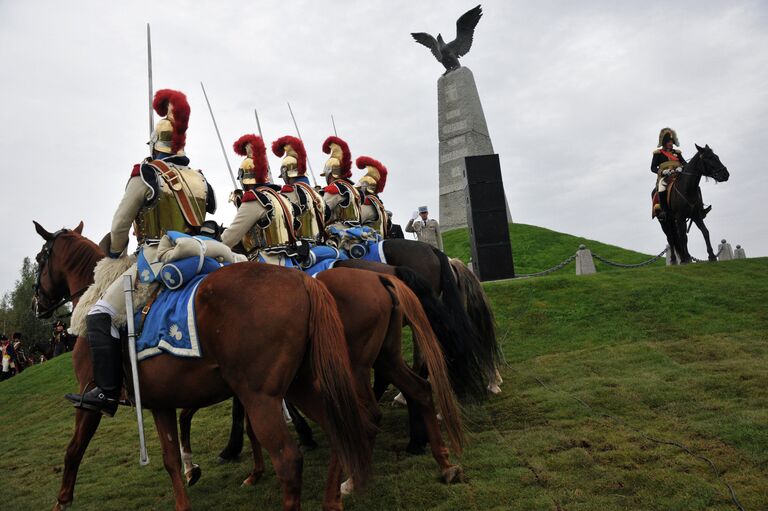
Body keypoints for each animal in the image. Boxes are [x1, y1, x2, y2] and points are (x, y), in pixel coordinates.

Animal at [31, 223, 374, 511]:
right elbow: (170, 456)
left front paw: (62, 501)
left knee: (289, 461)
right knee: (337, 430)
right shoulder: (162, 402)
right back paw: (334, 498)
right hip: (301, 384)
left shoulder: (90, 400)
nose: (37, 305)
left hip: (261, 397)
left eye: (39, 259)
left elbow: (74, 449)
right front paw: (190, 478)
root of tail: (302, 280)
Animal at [180, 268, 464, 504]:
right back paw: (442, 461)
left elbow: (200, 415)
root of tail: (378, 277)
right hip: (387, 356)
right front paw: (252, 469)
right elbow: (246, 425)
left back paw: (355, 477)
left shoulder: (255, 386)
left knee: (371, 414)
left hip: (356, 366)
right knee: (420, 389)